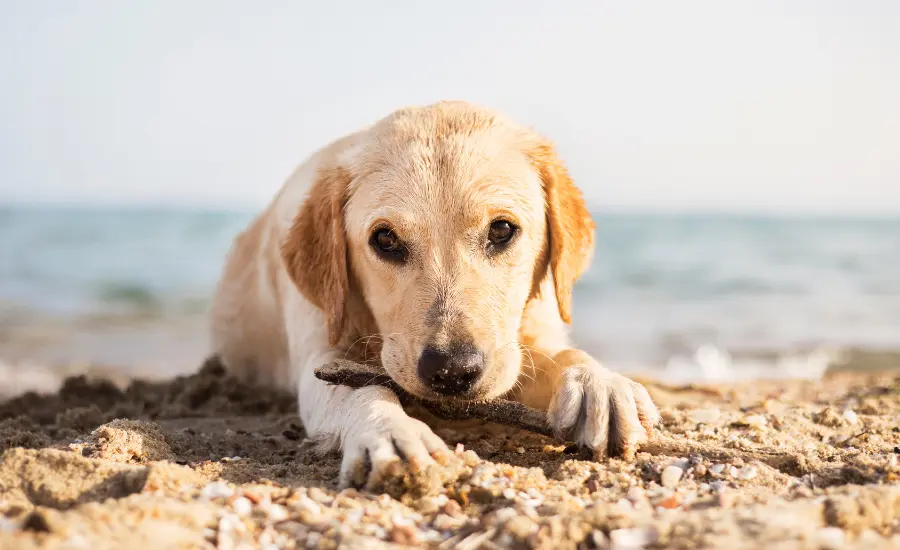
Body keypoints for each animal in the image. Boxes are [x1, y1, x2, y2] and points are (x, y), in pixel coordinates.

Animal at [211, 101, 660, 490]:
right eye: (385, 239)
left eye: (502, 229)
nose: (452, 371)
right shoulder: (319, 359)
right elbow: (362, 389)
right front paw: (391, 431)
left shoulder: (531, 335)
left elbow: (564, 354)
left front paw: (599, 384)